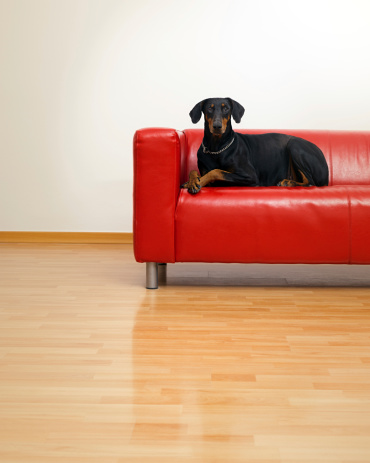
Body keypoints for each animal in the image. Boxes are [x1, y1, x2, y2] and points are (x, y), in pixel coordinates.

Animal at [182, 98, 330, 194]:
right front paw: (192, 181)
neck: (217, 148)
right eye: (209, 108)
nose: (217, 126)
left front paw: (197, 182)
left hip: (294, 145)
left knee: (311, 182)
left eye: (226, 108)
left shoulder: (250, 176)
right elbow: (194, 171)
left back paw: (288, 182)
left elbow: (217, 171)